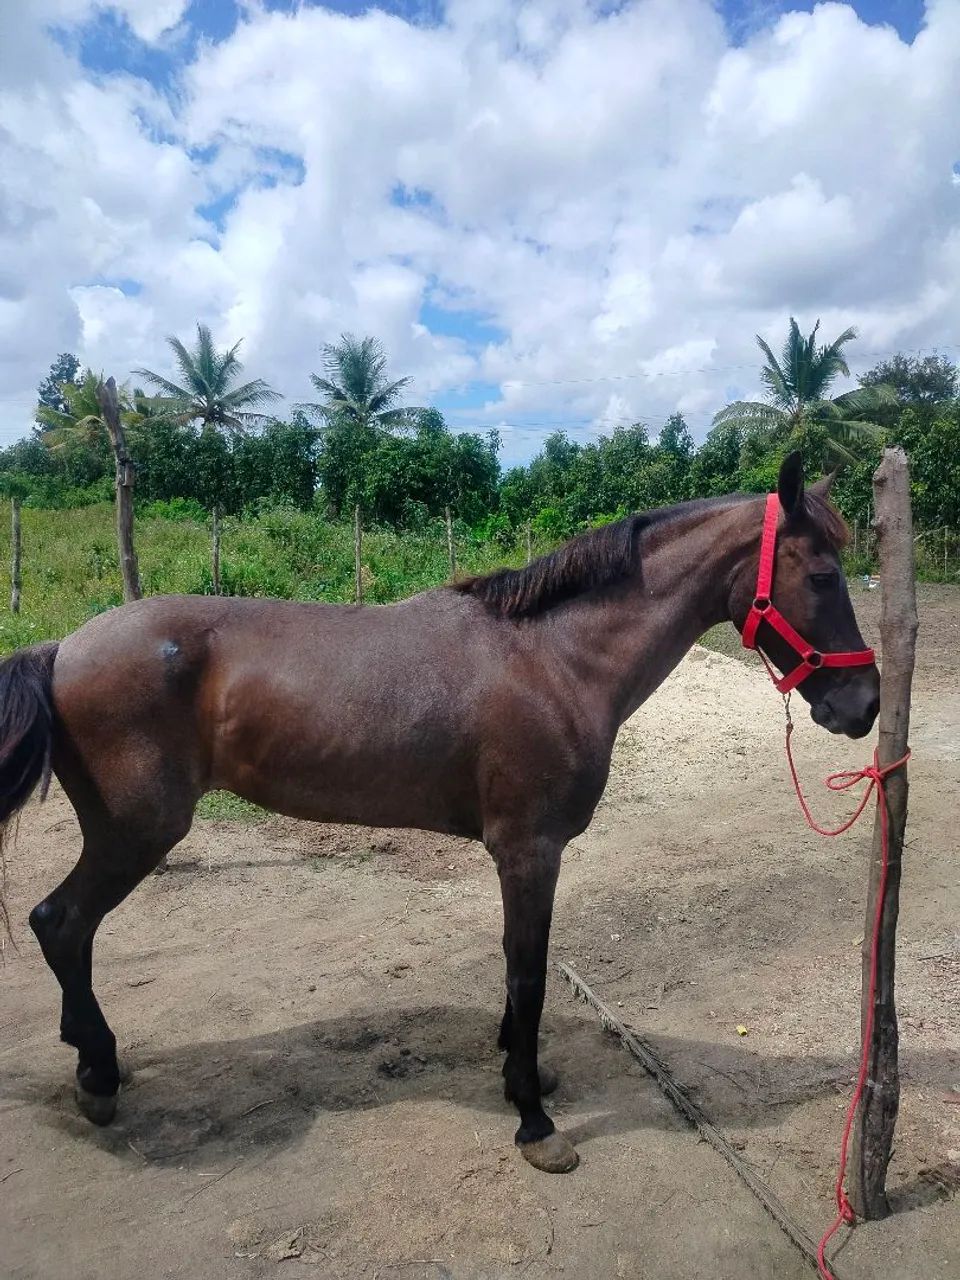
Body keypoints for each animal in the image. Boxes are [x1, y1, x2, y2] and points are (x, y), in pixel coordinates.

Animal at [0, 453, 878, 1174]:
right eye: (822, 575)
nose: (864, 704)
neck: (553, 658)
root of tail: (62, 646)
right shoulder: (530, 849)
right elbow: (528, 973)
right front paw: (534, 1119)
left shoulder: (522, 854)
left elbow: (517, 969)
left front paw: (524, 1075)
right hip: (135, 833)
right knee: (60, 923)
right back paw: (98, 1075)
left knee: (64, 929)